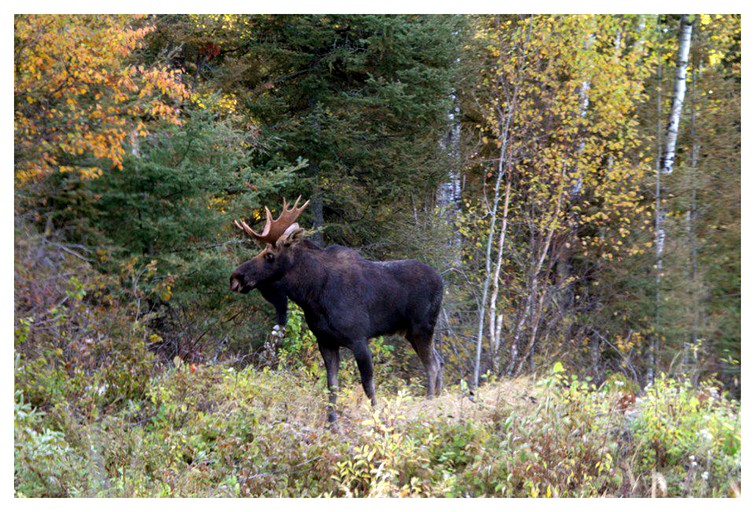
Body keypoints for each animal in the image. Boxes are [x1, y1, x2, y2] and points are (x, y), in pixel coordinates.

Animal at [230, 198, 442, 422]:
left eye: (269, 255)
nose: (236, 277)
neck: (312, 295)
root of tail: (441, 281)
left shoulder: (358, 339)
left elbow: (368, 386)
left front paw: (375, 417)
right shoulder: (326, 341)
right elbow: (332, 387)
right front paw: (331, 422)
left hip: (422, 328)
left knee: (432, 365)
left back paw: (430, 403)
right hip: (412, 332)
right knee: (438, 361)